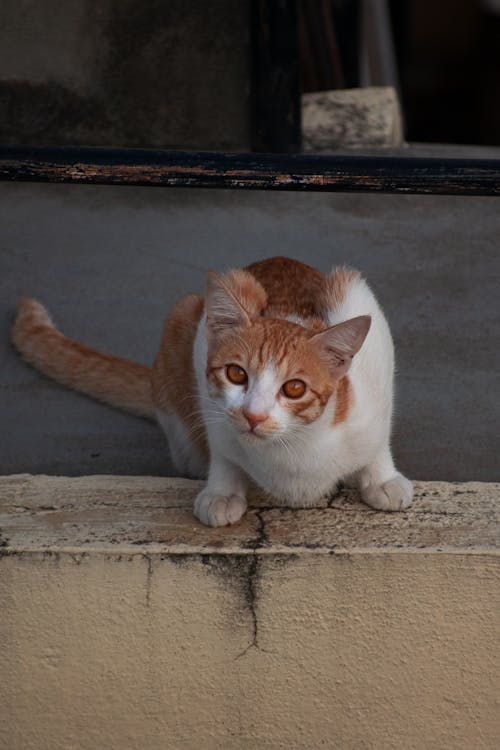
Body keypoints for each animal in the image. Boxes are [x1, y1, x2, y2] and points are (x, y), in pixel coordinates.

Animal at [10, 258, 414, 528]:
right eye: (236, 374)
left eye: (294, 388)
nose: (253, 415)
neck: (293, 453)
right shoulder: (206, 375)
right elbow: (223, 452)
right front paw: (223, 490)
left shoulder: (373, 343)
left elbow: (379, 442)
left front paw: (381, 479)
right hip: (186, 317)